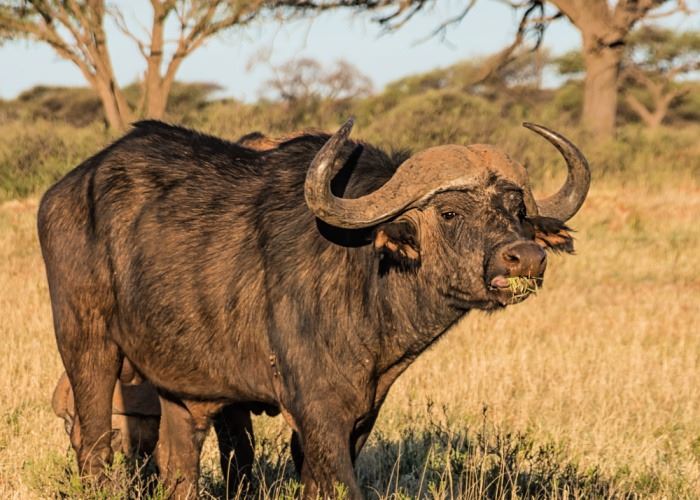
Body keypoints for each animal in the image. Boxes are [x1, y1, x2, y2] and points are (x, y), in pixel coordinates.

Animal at [38, 118, 589, 498]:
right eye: (450, 212)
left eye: (518, 211)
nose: (526, 257)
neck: (364, 273)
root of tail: (66, 189)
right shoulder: (317, 410)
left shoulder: (360, 415)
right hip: (86, 344)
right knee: (94, 443)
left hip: (182, 385)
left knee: (178, 465)